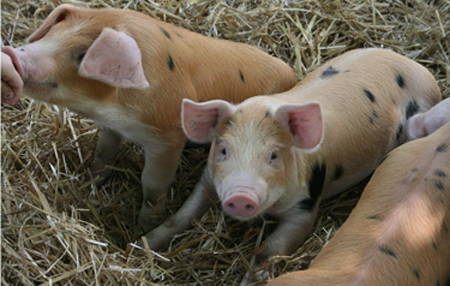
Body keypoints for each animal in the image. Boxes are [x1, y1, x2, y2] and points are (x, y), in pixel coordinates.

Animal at [0, 3, 298, 232]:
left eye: (83, 54)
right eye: (51, 33)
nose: (13, 54)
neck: (113, 110)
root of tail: (291, 73)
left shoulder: (167, 138)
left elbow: (152, 184)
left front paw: (142, 229)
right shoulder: (111, 127)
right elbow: (103, 154)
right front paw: (93, 182)